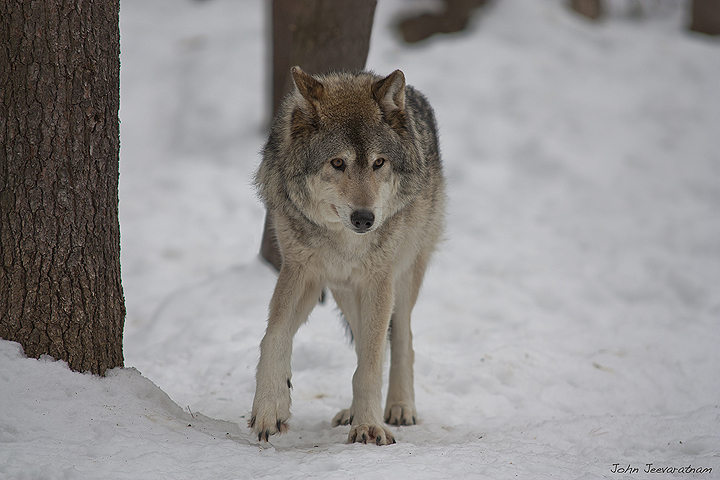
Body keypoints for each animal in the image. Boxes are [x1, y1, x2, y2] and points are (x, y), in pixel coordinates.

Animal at [250, 66, 445, 445]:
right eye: (337, 163)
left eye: (379, 163)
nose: (364, 218)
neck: (343, 240)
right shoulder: (301, 272)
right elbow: (274, 335)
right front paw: (270, 408)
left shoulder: (378, 280)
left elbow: (370, 364)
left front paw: (369, 426)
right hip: (344, 291)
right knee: (365, 346)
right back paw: (353, 411)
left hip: (402, 278)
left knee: (401, 340)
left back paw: (399, 408)